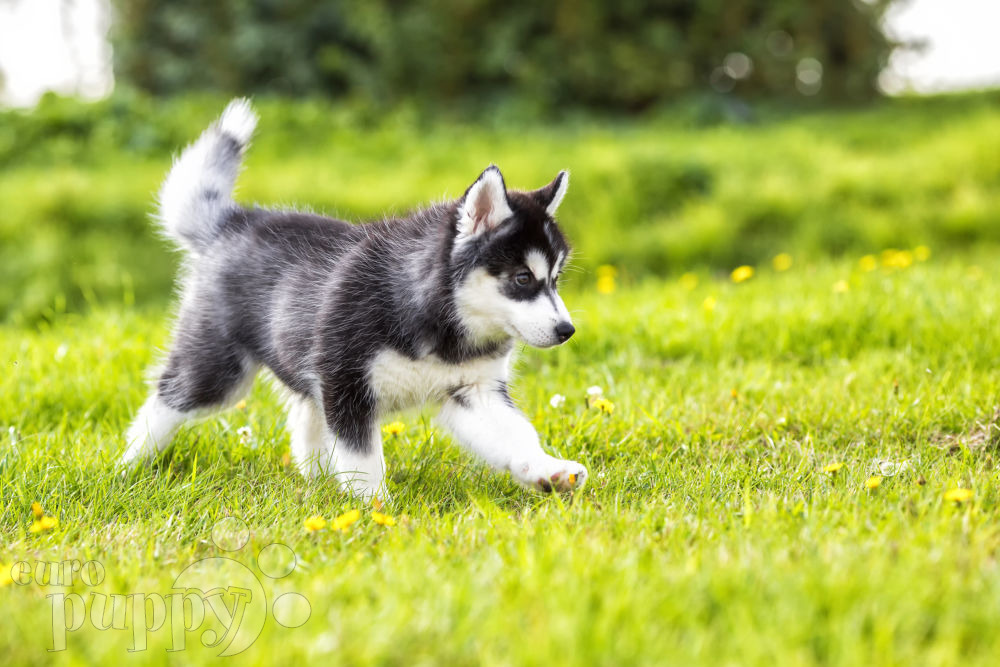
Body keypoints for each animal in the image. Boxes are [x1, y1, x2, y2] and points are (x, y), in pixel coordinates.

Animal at [122, 96, 584, 498]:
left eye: (556, 279)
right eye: (523, 278)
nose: (567, 330)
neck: (439, 321)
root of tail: (235, 219)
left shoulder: (472, 389)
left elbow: (516, 433)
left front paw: (546, 469)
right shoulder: (347, 384)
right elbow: (362, 457)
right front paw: (375, 508)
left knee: (304, 413)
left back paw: (315, 480)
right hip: (219, 368)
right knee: (169, 397)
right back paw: (129, 465)